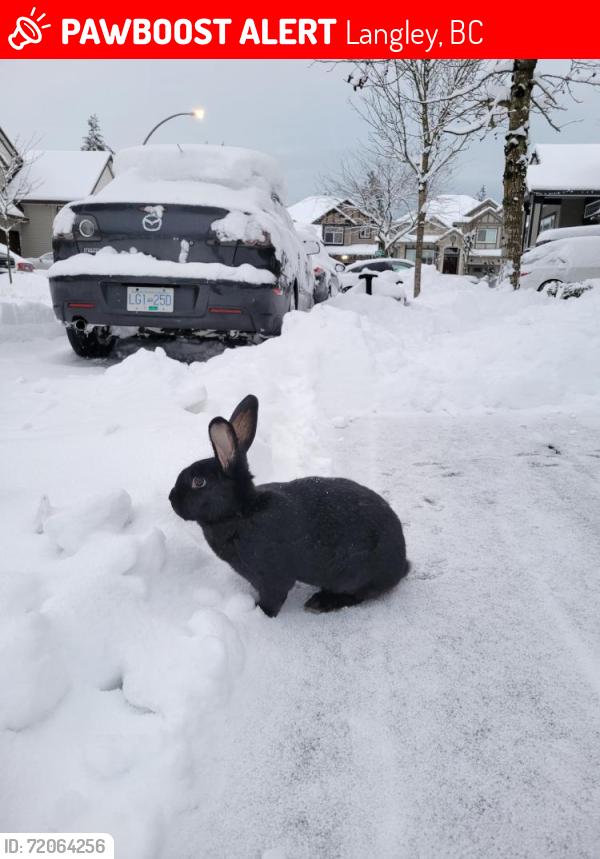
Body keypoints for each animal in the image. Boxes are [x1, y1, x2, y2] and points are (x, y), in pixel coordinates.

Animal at [169, 395, 409, 617]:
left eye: (198, 482)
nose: (171, 498)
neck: (241, 512)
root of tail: (401, 564)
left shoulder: (272, 575)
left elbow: (274, 596)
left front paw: (259, 613)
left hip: (353, 575)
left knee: (357, 595)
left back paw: (320, 603)